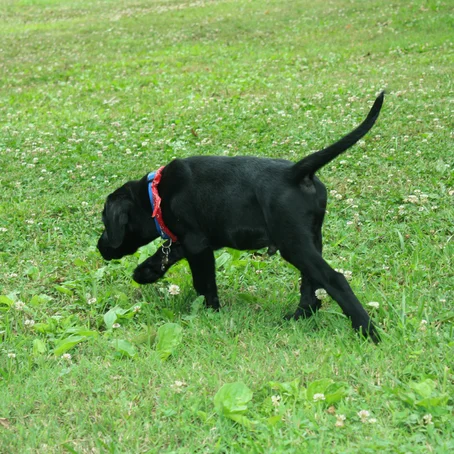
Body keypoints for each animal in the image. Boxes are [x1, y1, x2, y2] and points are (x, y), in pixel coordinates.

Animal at [98, 91, 384, 340]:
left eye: (105, 223)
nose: (101, 247)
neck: (155, 195)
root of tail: (295, 172)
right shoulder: (195, 241)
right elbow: (168, 253)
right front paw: (145, 272)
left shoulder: (197, 244)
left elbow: (204, 283)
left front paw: (210, 312)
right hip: (311, 240)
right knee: (311, 287)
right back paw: (298, 317)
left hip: (293, 243)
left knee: (334, 279)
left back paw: (366, 330)